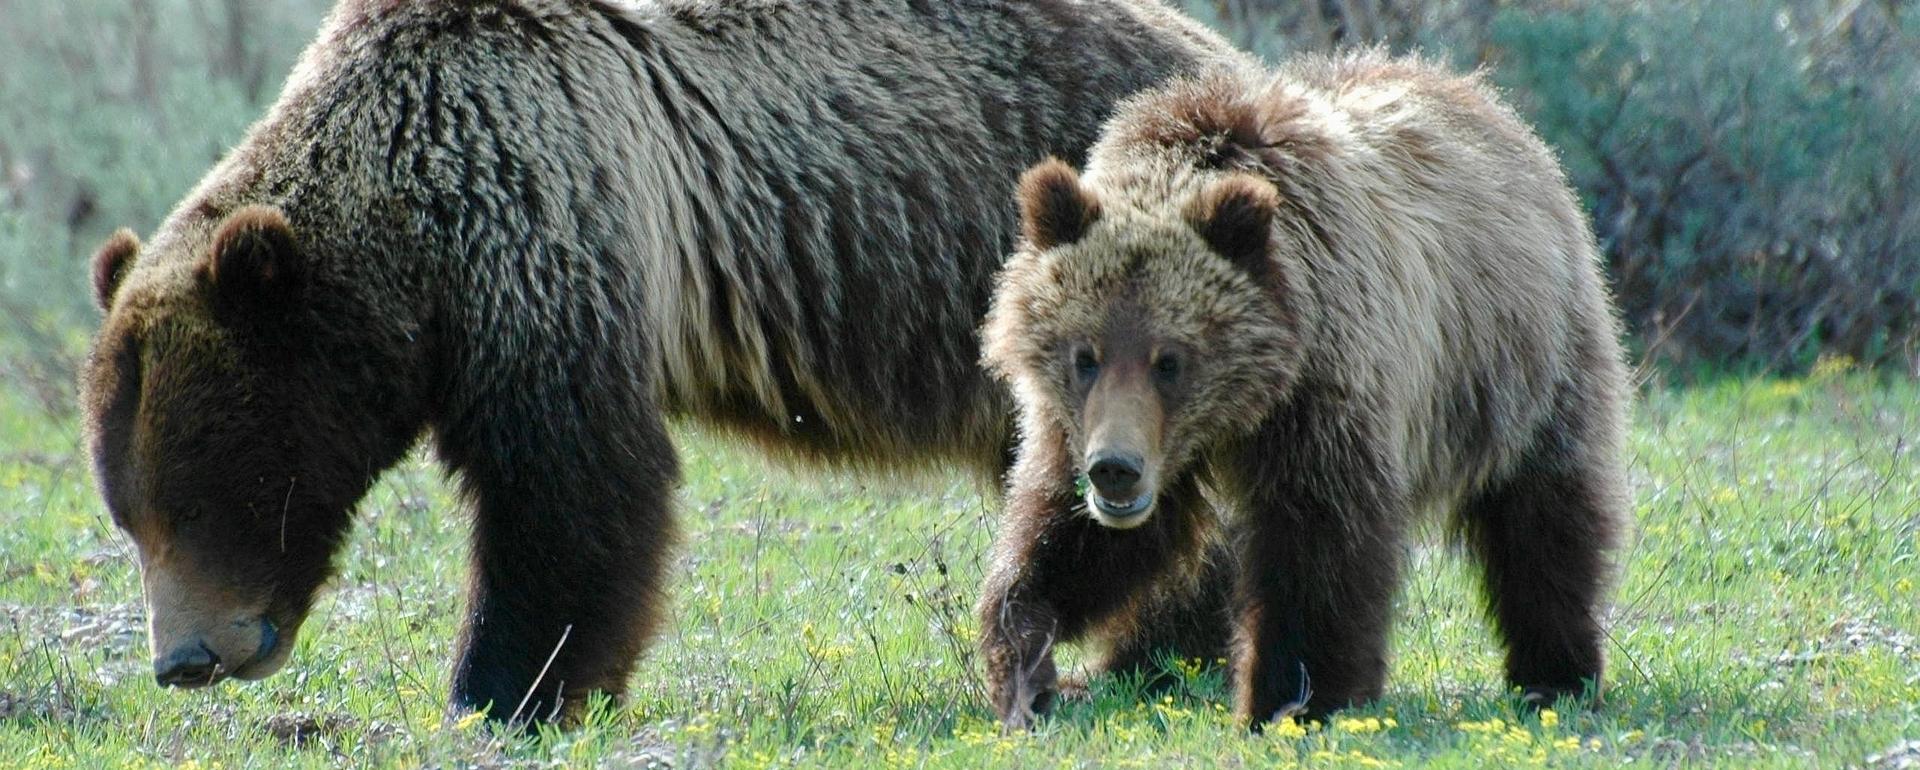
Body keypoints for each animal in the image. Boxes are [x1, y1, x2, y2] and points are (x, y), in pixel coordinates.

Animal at [82, 0, 1244, 721]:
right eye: (127, 512)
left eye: (199, 497)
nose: (183, 659)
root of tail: (1234, 59)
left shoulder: (545, 215)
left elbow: (572, 489)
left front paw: (502, 690)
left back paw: (1158, 646)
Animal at [983, 54, 1628, 725]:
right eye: (1085, 355)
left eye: (1171, 361)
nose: (1116, 470)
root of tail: (1493, 107)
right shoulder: (1082, 426)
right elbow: (1067, 534)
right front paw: (1028, 662)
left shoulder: (1326, 391)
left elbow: (1320, 547)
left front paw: (1292, 697)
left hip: (1521, 365)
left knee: (1544, 520)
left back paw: (1557, 674)